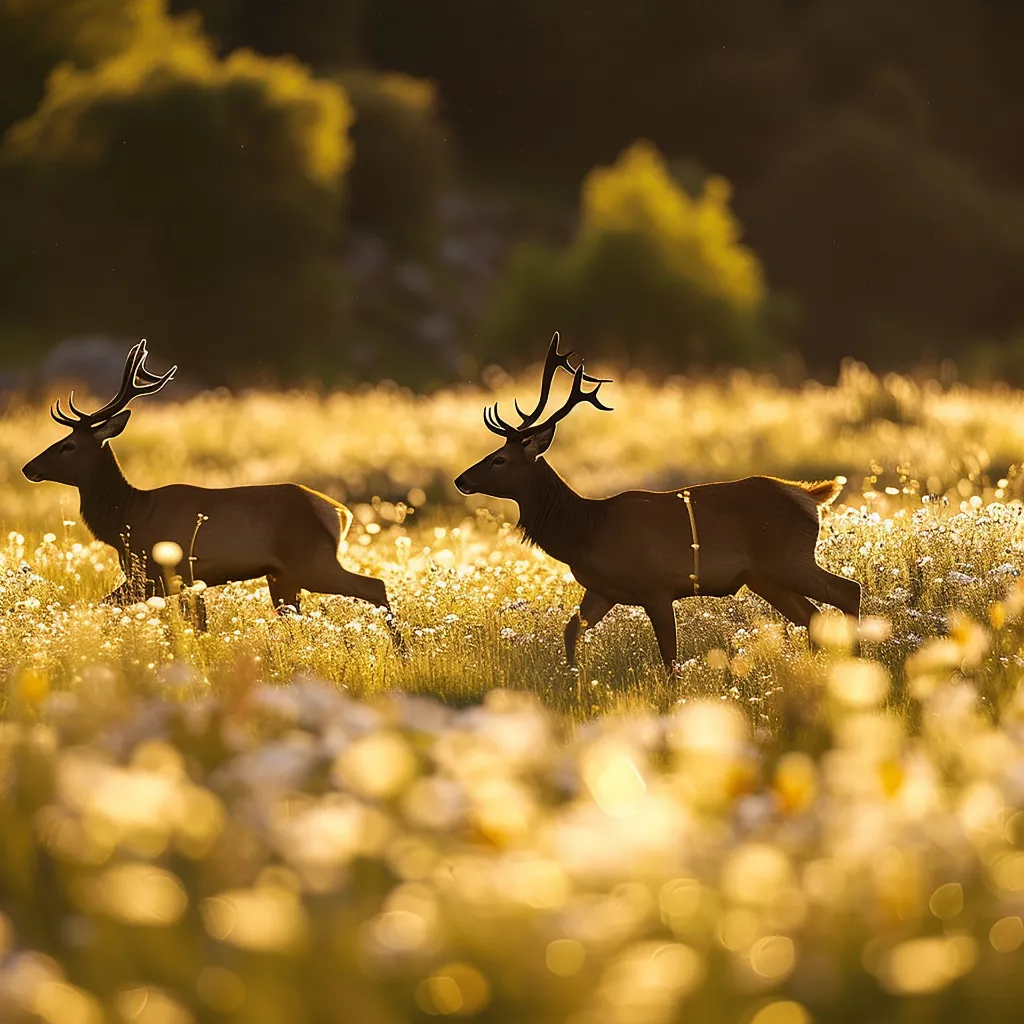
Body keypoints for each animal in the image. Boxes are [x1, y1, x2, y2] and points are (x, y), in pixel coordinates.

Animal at [22, 340, 402, 648]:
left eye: (69, 445)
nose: (29, 467)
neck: (128, 517)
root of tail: (340, 513)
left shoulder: (165, 573)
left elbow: (118, 609)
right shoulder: (169, 580)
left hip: (312, 560)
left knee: (375, 585)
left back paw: (402, 652)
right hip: (283, 575)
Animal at [454, 334, 861, 670]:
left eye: (499, 459)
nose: (461, 480)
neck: (588, 532)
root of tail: (808, 495)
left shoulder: (657, 586)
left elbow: (670, 659)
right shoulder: (601, 590)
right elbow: (571, 631)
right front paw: (572, 682)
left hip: (787, 558)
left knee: (847, 591)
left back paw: (858, 662)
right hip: (764, 576)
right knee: (814, 616)